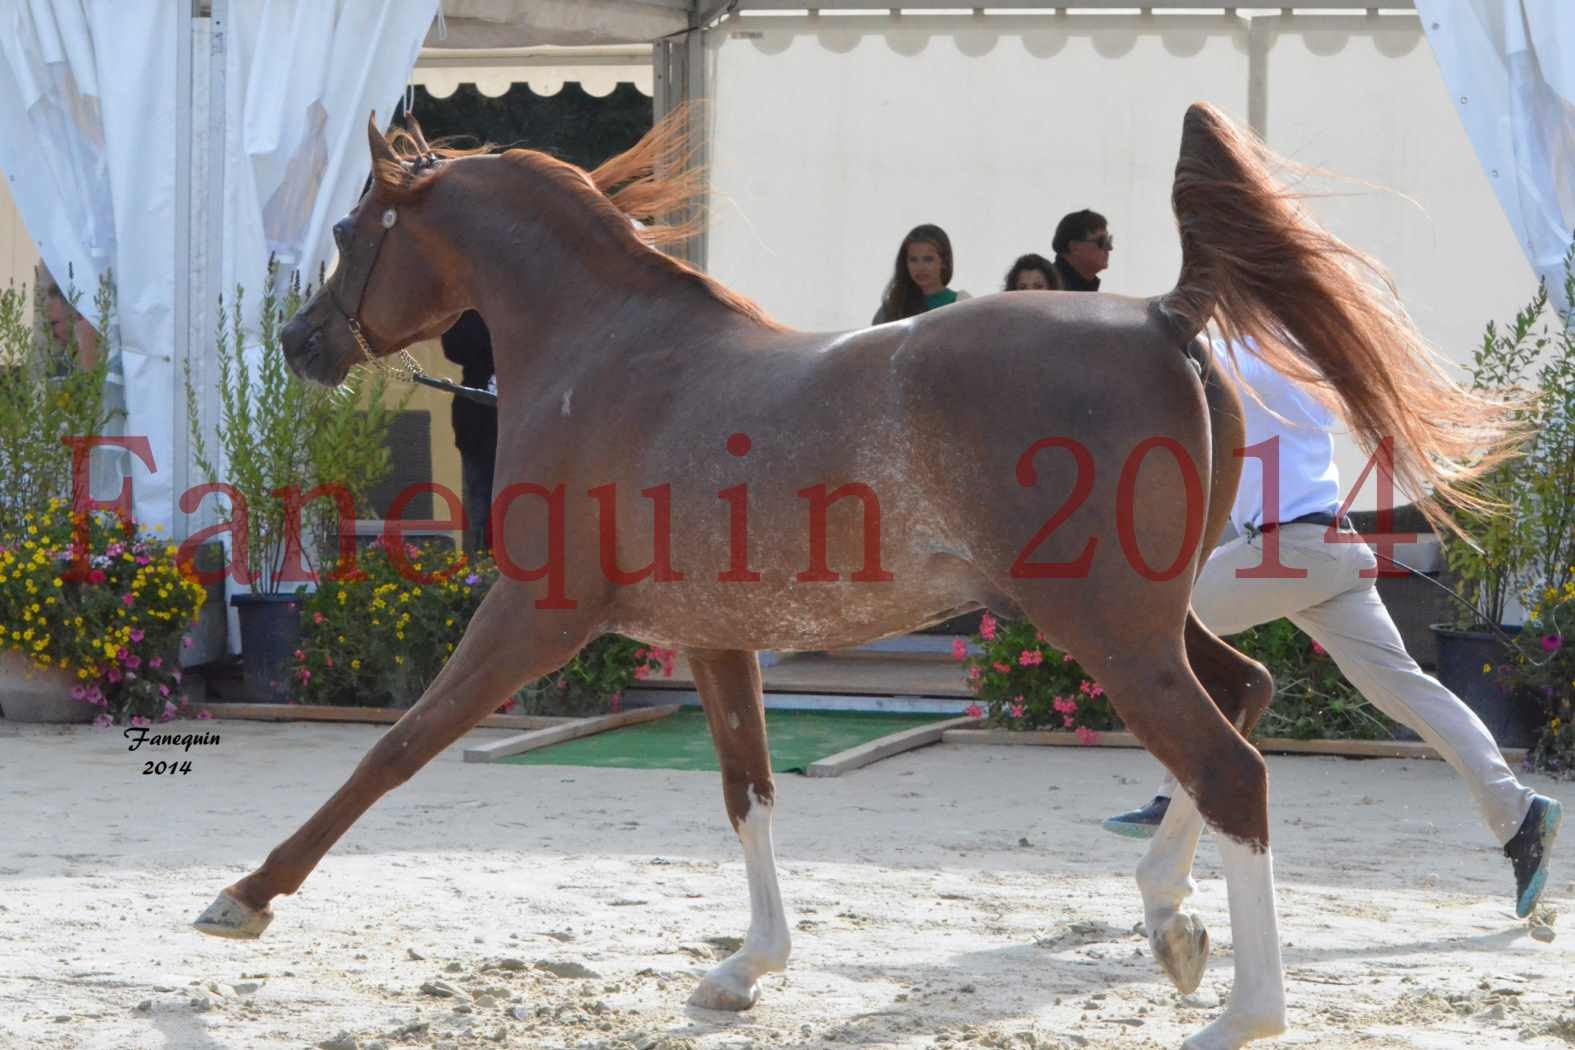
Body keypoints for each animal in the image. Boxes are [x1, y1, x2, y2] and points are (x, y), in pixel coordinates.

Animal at [196, 100, 1512, 1050]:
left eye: (349, 233)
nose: (300, 344)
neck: (608, 358)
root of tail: (1162, 318)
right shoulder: (715, 636)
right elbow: (748, 789)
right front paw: (746, 969)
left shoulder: (535, 616)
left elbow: (396, 747)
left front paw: (244, 897)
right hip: (1135, 615)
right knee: (1243, 697)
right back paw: (1169, 924)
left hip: (1105, 628)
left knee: (1233, 764)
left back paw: (1244, 1011)